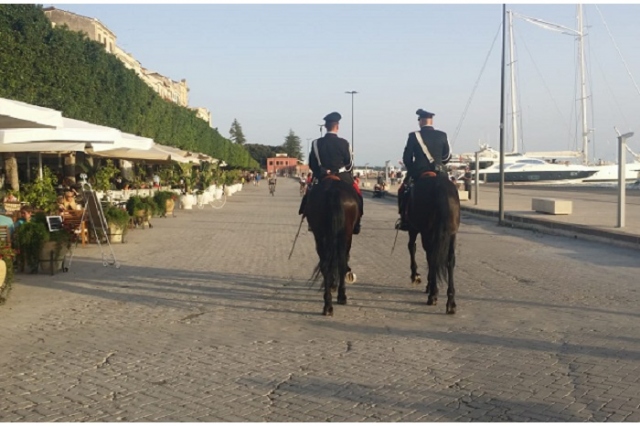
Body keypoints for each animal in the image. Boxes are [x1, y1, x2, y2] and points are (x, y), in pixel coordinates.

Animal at [305, 176, 359, 316]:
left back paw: (327, 305)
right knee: (342, 262)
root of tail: (333, 191)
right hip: (346, 235)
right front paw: (335, 285)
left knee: (325, 265)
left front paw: (332, 283)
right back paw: (340, 297)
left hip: (319, 234)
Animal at [405, 171, 460, 314]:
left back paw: (433, 294)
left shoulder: (414, 228)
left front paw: (416, 276)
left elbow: (412, 248)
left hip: (426, 231)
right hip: (452, 233)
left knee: (432, 257)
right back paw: (451, 302)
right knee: (450, 260)